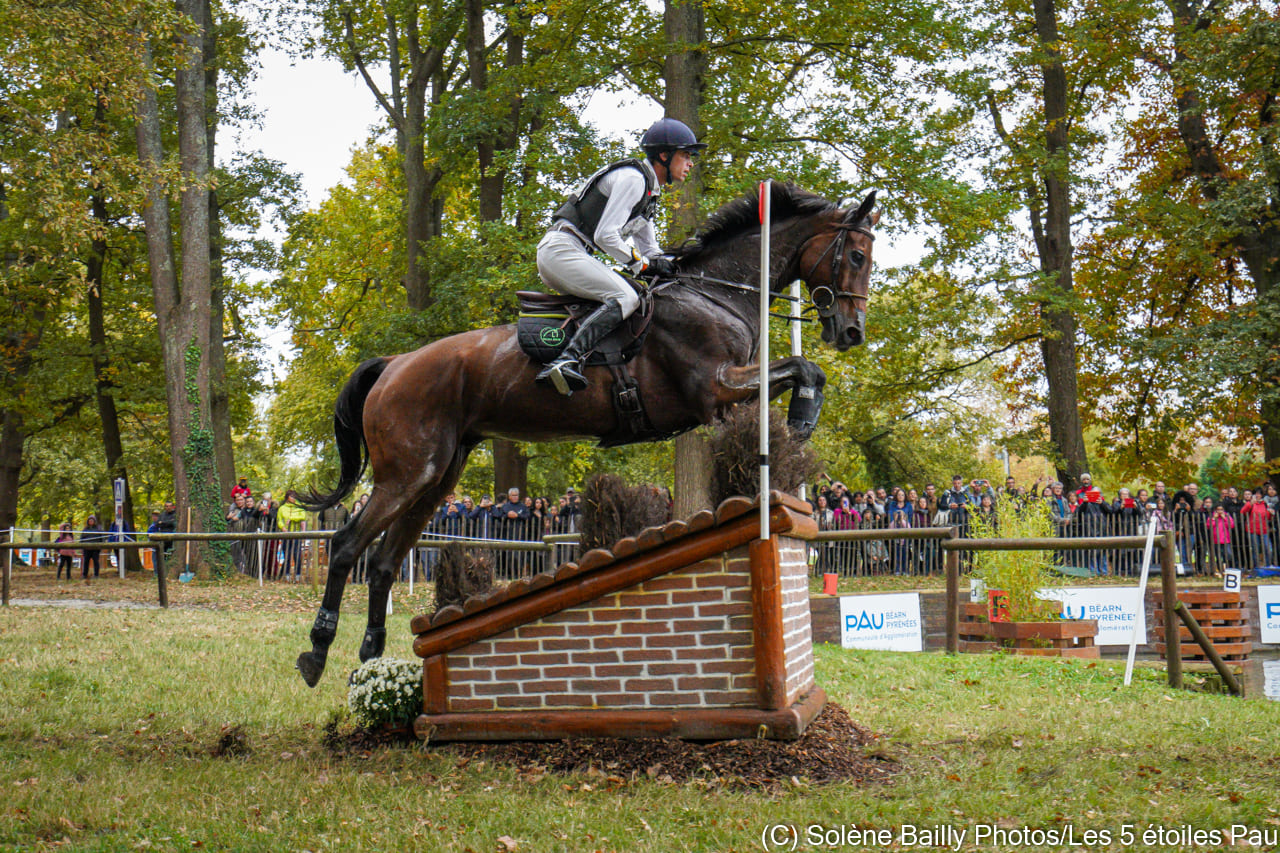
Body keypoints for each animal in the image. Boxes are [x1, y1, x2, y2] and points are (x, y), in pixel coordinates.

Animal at [294, 180, 875, 686]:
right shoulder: (716, 388)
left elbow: (802, 372)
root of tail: (394, 364)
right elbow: (802, 368)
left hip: (437, 477)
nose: (851, 333)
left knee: (384, 563)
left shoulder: (732, 396)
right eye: (856, 257)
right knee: (346, 546)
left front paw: (794, 434)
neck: (716, 293)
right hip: (407, 473)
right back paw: (317, 653)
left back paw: (370, 660)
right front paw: (800, 422)